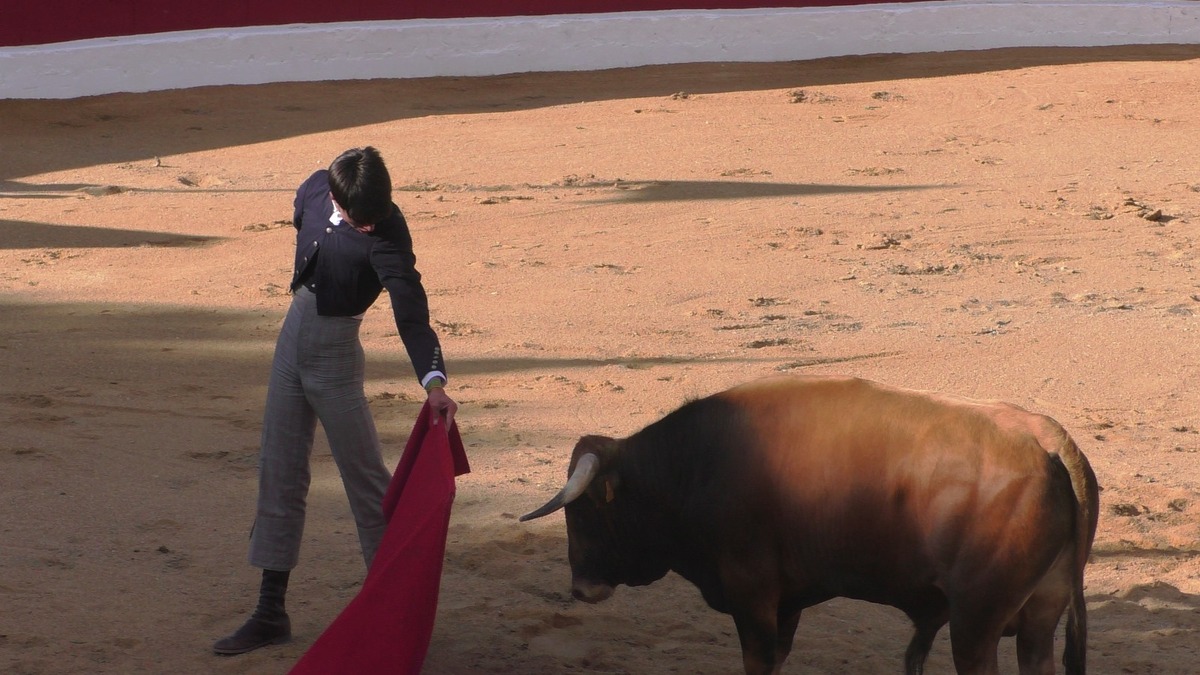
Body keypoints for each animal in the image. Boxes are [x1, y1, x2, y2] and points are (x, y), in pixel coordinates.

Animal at [520, 374, 1099, 667]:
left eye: (585, 510)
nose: (581, 588)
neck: (695, 465)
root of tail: (1050, 441)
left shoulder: (752, 597)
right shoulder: (787, 602)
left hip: (975, 623)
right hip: (1036, 619)